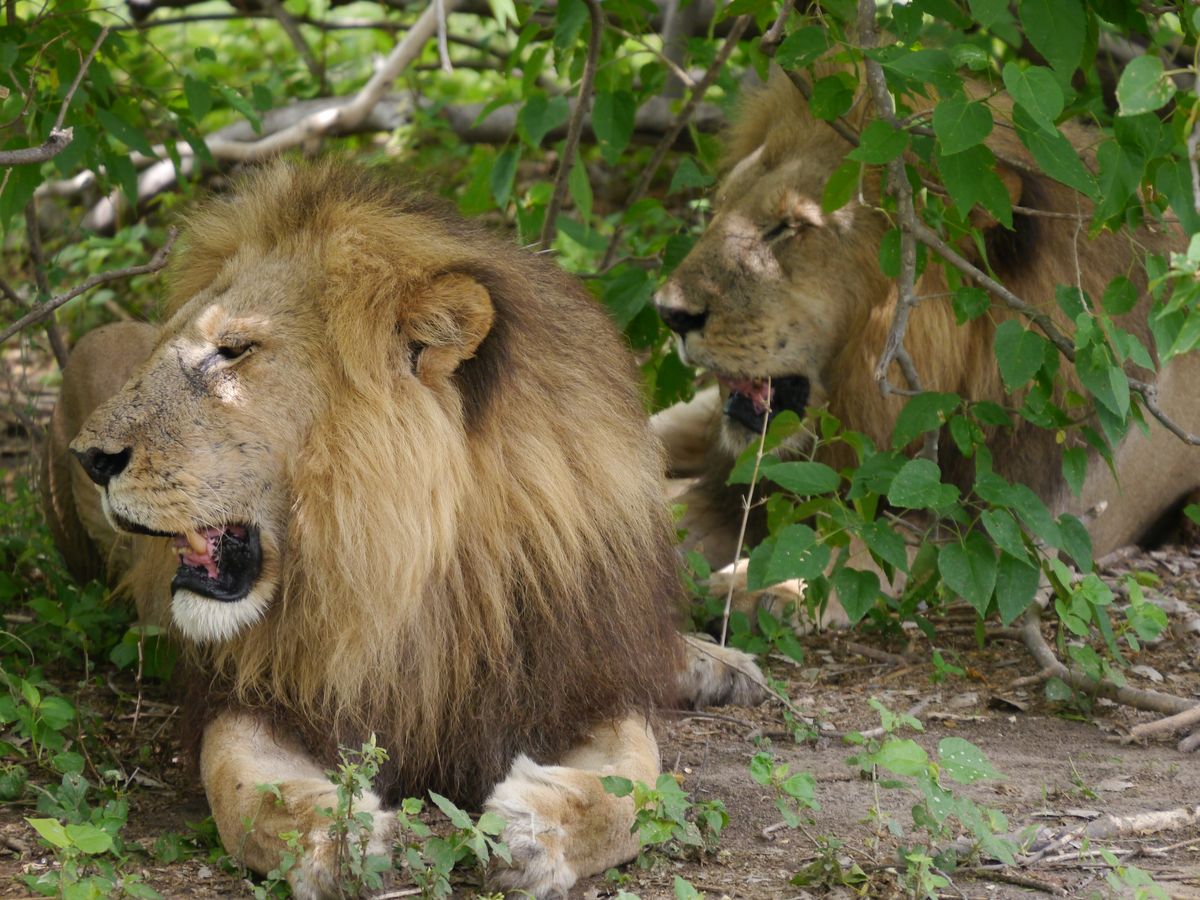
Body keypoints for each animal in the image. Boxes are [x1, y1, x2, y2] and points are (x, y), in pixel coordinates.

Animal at [40, 160, 760, 899]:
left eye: (233, 351)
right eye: (169, 348)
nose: (91, 459)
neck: (417, 575)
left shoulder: (575, 678)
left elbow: (636, 786)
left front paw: (536, 831)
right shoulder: (256, 693)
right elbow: (244, 794)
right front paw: (335, 840)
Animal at [653, 68, 1200, 595]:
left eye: (789, 227)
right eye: (721, 206)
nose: (668, 314)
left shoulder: (1009, 527)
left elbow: (858, 544)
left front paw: (764, 586)